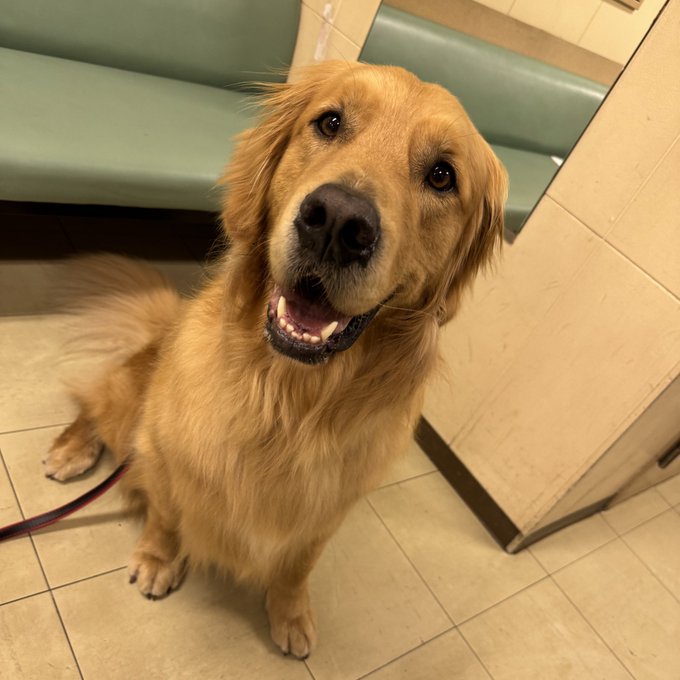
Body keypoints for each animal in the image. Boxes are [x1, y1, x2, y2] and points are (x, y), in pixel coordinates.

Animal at [44, 61, 507, 659]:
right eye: (330, 122)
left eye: (442, 176)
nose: (337, 222)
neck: (288, 401)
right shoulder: (166, 454)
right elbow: (167, 515)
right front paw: (158, 558)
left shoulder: (327, 510)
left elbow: (297, 565)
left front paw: (289, 613)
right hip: (132, 406)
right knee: (98, 400)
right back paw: (71, 449)